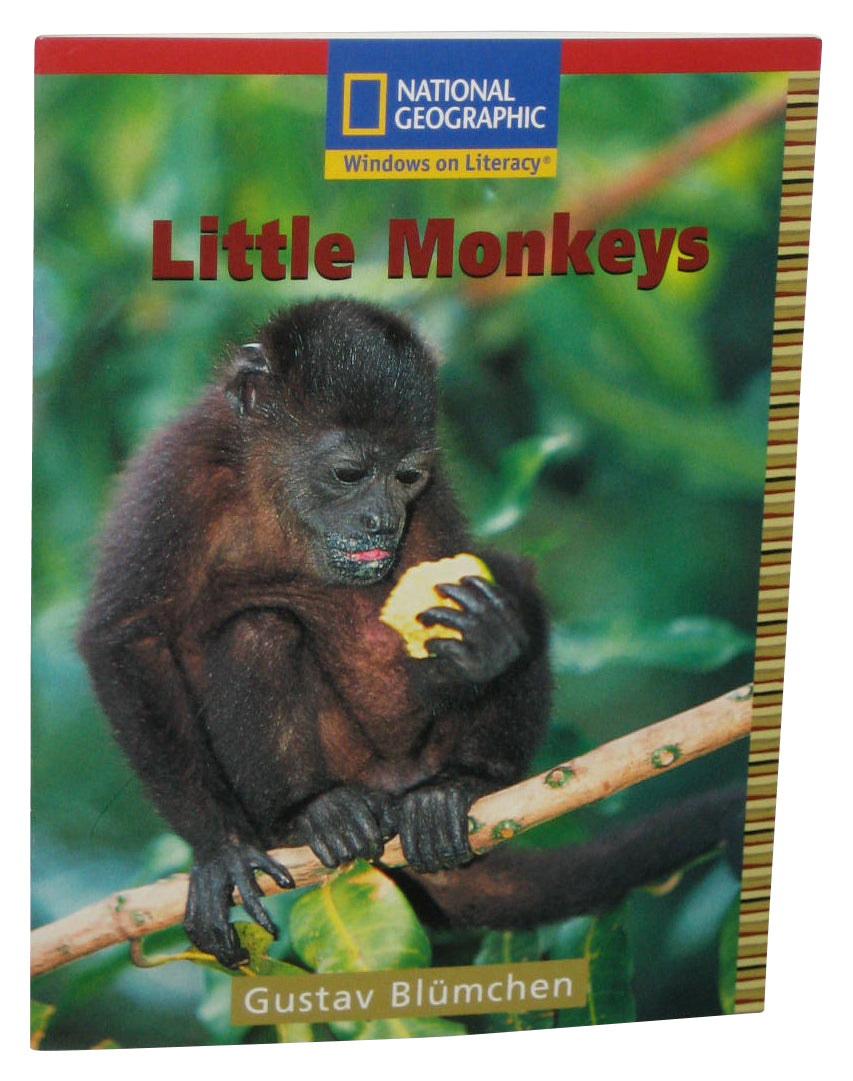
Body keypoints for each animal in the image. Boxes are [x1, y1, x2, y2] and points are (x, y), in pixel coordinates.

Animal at [78, 298, 744, 970]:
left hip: (419, 758)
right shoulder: (174, 473)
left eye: (406, 476)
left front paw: (482, 649)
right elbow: (125, 637)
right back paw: (313, 812)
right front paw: (219, 849)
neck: (273, 496)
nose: (381, 519)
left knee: (517, 585)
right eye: (348, 473)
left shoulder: (436, 493)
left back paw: (459, 787)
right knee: (259, 631)